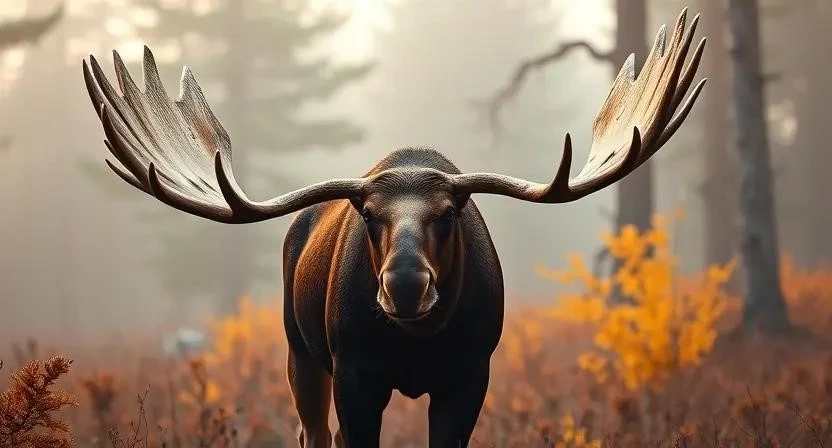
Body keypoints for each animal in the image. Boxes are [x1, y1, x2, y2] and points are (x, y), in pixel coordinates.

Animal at [82, 8, 706, 448]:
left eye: (451, 212)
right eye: (368, 214)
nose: (405, 284)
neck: (417, 342)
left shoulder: (470, 374)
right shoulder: (355, 373)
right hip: (300, 350)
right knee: (313, 432)